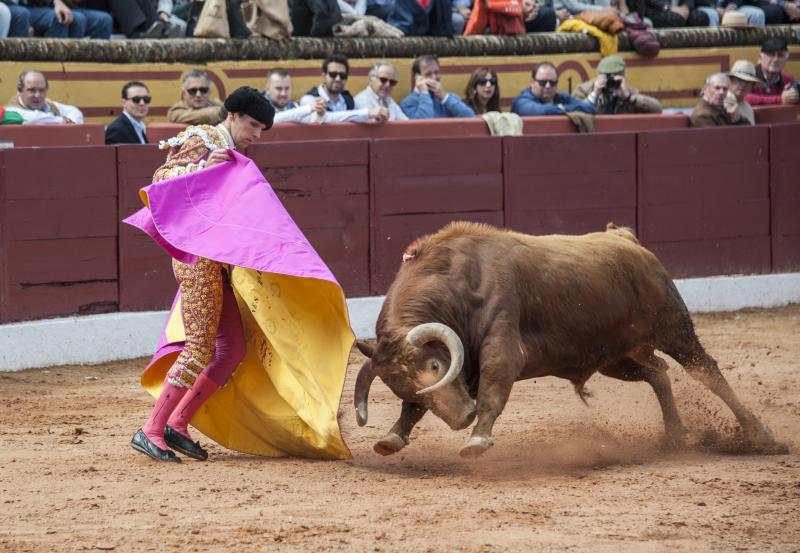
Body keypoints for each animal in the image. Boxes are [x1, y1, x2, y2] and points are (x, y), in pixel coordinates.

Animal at [354, 220, 780, 458]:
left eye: (436, 364)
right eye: (398, 386)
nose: (462, 419)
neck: (456, 285)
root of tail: (627, 239)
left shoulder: (502, 350)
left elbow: (492, 392)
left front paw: (477, 442)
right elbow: (412, 411)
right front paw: (391, 439)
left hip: (674, 328)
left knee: (706, 372)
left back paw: (760, 435)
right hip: (615, 358)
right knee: (658, 373)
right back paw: (675, 436)